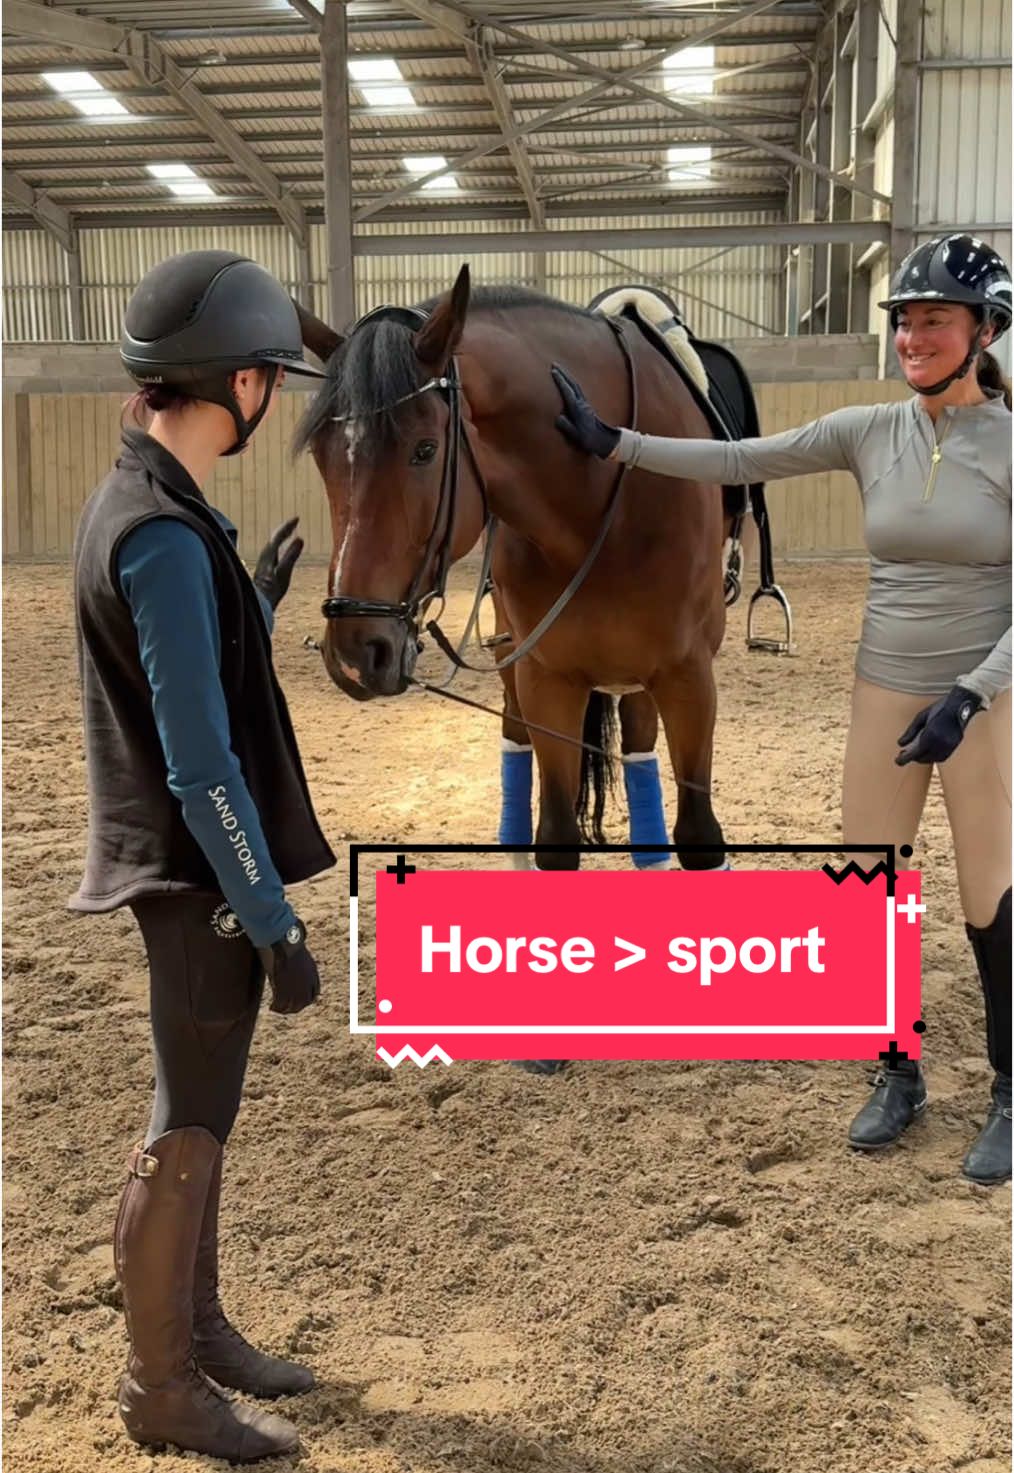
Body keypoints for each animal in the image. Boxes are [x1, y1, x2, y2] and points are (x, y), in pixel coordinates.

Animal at [293, 265, 736, 872]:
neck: (602, 502)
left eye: (425, 450)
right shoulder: (547, 679)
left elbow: (698, 835)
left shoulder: (689, 678)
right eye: (322, 454)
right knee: (516, 741)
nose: (356, 652)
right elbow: (554, 833)